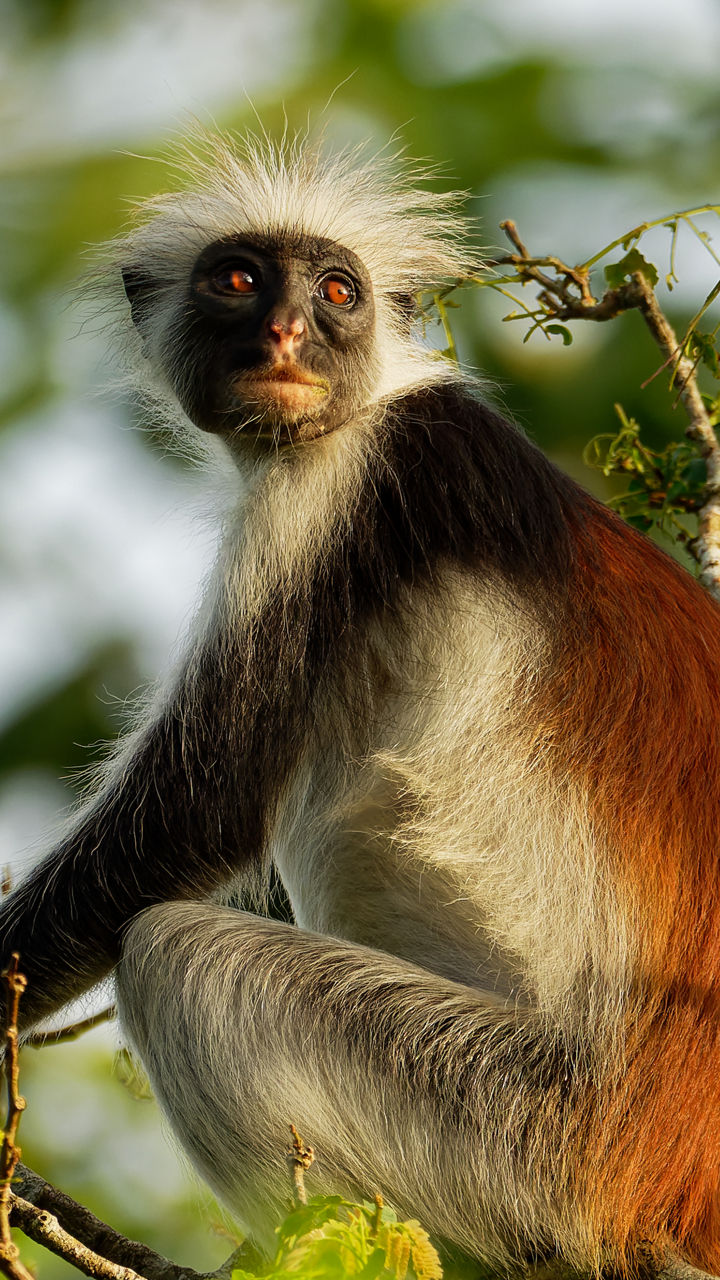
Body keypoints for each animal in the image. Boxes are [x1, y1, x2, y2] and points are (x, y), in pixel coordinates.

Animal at [2, 129, 720, 1276]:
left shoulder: (335, 489)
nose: (289, 331)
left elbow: (195, 814)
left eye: (337, 292)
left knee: (180, 955)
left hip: (533, 1126)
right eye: (240, 281)